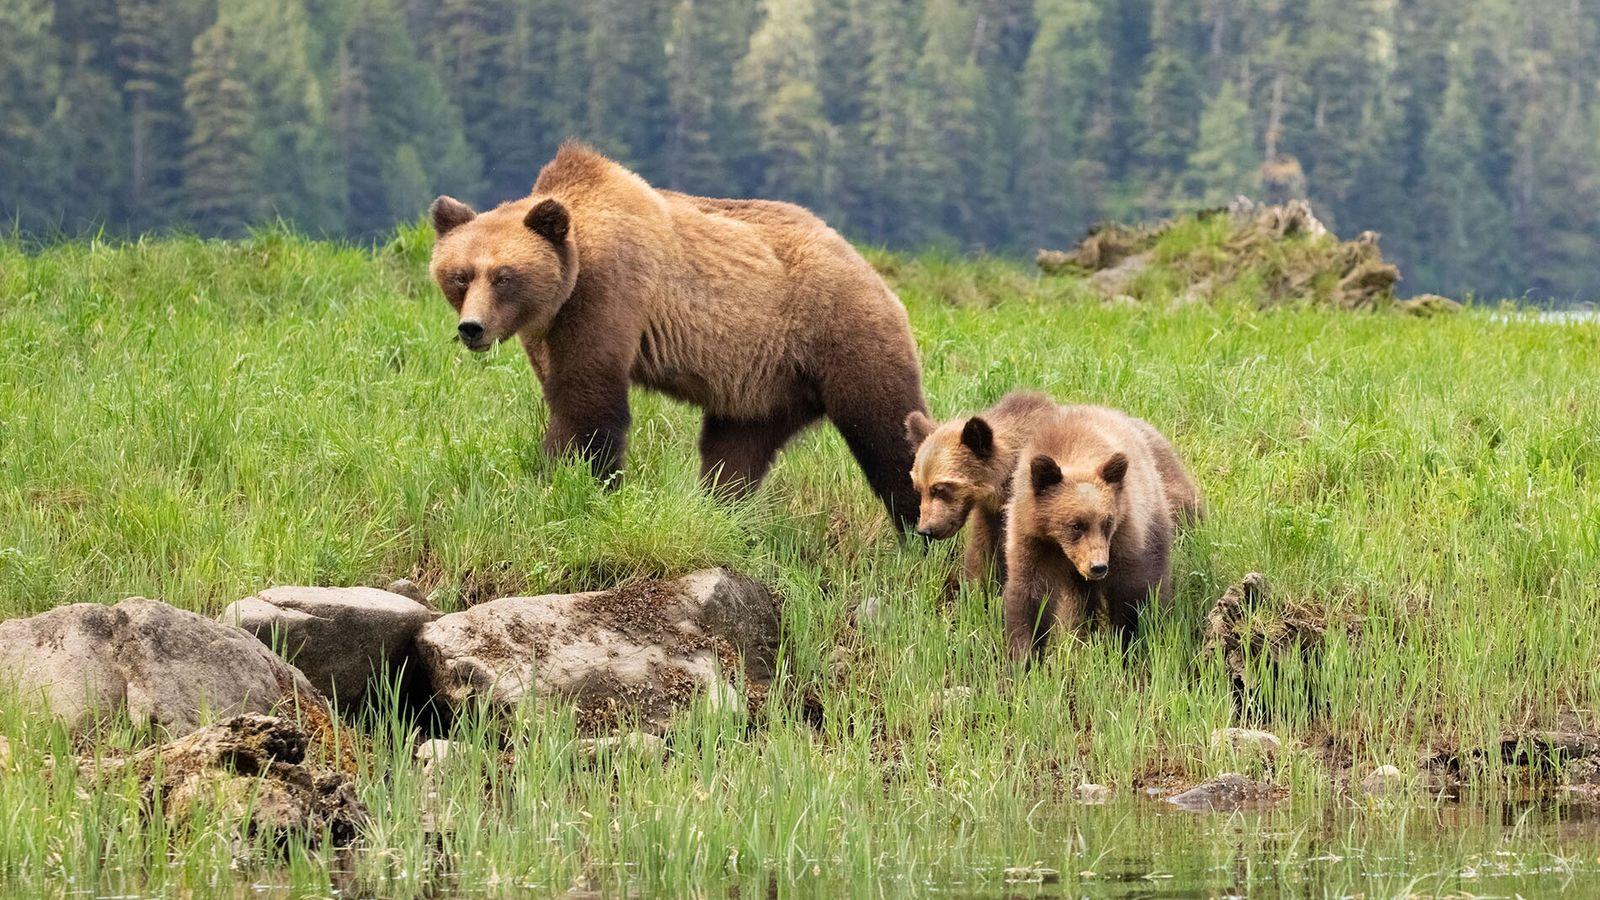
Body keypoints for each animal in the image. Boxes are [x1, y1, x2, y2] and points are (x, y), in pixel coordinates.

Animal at [426, 142, 929, 529]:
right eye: (460, 275)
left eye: (504, 276)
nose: (472, 328)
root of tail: (868, 268)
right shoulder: (549, 330)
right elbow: (563, 389)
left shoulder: (608, 296)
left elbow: (588, 403)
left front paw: (571, 481)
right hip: (764, 382)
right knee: (736, 449)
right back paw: (721, 510)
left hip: (841, 333)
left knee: (887, 430)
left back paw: (918, 530)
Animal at [1000, 404, 1199, 662]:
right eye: (1076, 525)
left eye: (1107, 522)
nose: (1098, 567)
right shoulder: (1033, 539)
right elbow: (1030, 595)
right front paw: (1024, 656)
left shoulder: (1124, 536)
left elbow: (1129, 593)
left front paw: (1125, 645)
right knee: (1080, 599)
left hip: (1157, 517)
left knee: (1157, 575)